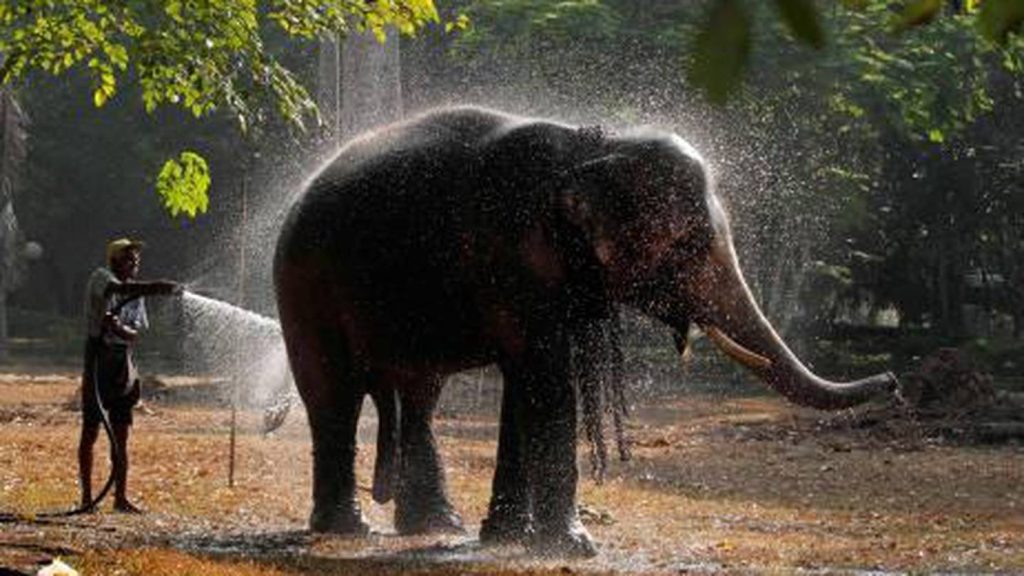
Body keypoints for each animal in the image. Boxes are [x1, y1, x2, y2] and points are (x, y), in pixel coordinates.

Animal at [274, 104, 897, 557]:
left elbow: (528, 383)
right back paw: (346, 529)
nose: (892, 381)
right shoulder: (515, 255)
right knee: (334, 395)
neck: (592, 145)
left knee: (422, 395)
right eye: (689, 245)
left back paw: (436, 525)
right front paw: (575, 547)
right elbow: (547, 381)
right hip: (303, 289)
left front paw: (509, 538)